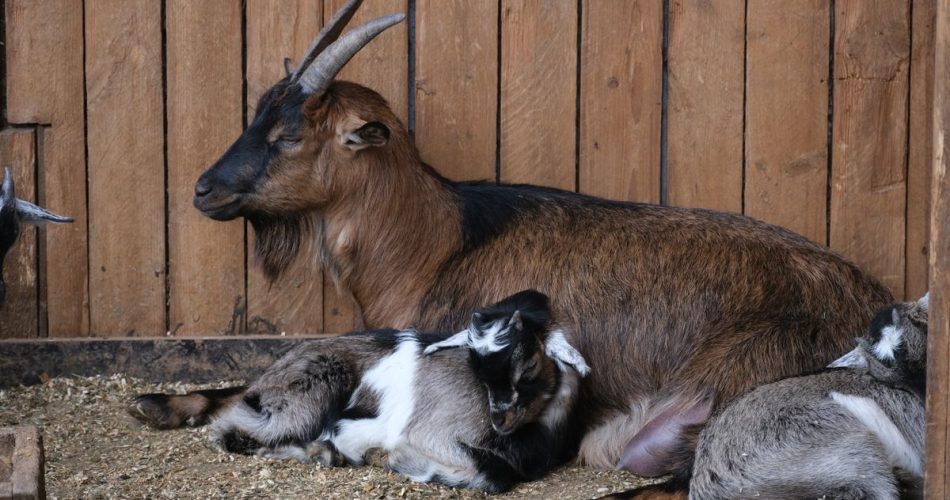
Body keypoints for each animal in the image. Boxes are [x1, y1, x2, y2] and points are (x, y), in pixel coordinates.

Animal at [130, 290, 589, 492]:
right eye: (475, 363)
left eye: (528, 365)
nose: (499, 417)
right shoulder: (431, 432)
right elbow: (491, 476)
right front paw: (400, 462)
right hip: (311, 389)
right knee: (231, 430)